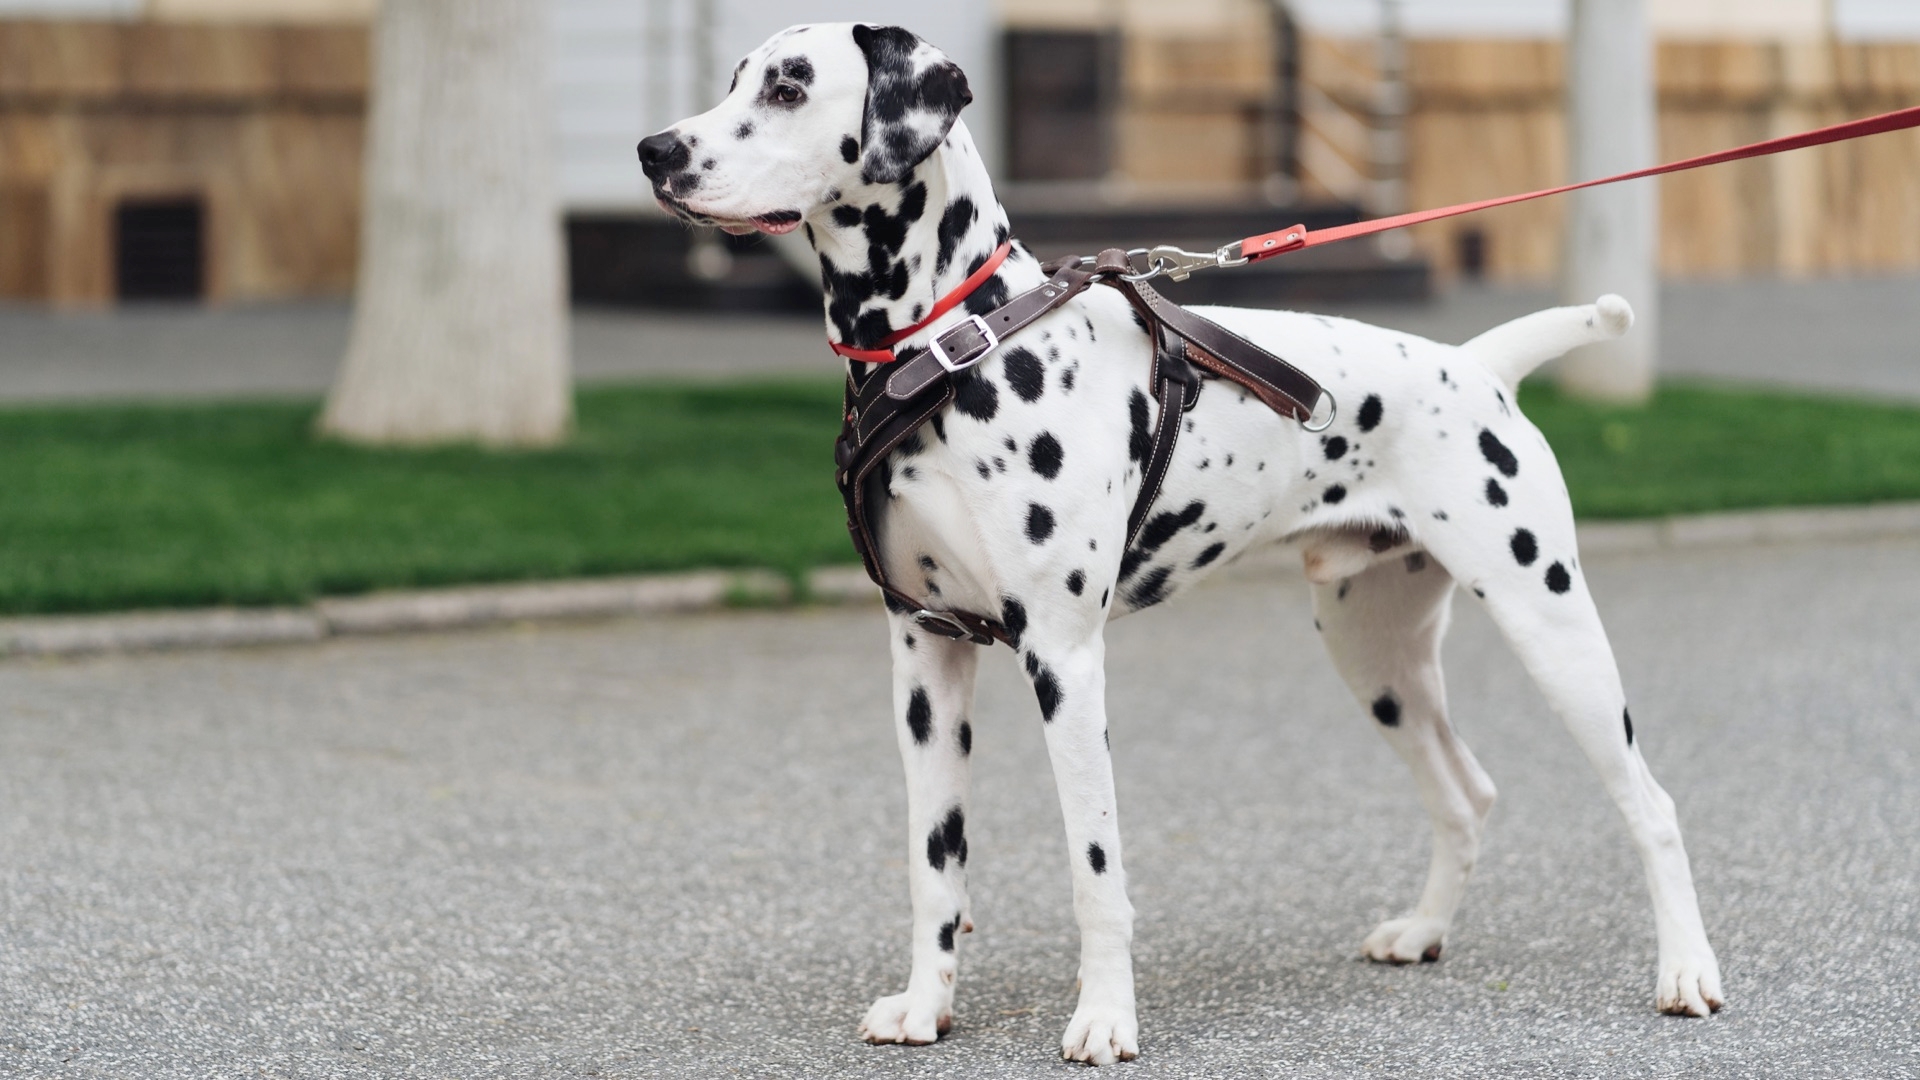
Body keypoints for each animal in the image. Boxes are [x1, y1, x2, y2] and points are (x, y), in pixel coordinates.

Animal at [641, 23, 1728, 1060]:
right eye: (733, 78)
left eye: (788, 84)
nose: (657, 150)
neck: (953, 348)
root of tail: (1478, 365)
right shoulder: (926, 659)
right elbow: (933, 865)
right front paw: (924, 1007)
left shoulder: (1064, 661)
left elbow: (1096, 869)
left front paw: (1104, 1022)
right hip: (1376, 659)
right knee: (1467, 794)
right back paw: (1423, 930)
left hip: (1552, 630)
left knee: (1655, 806)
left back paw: (1686, 972)